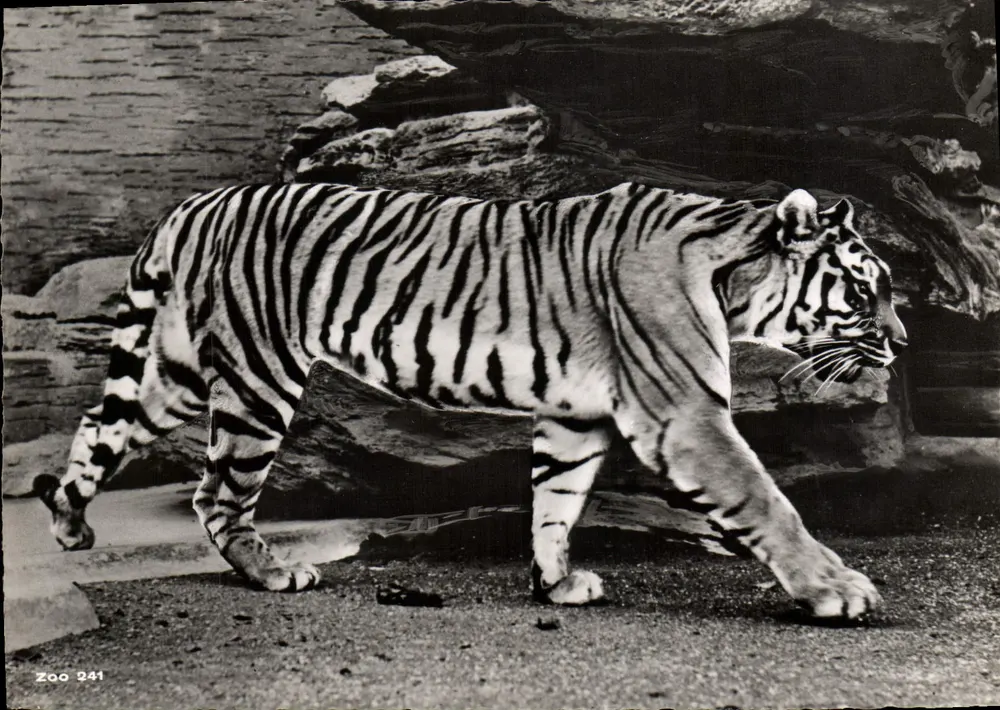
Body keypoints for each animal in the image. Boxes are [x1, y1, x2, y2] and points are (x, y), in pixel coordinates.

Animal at [34, 181, 907, 620]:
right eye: (866, 291)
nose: (901, 342)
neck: (736, 275)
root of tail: (195, 204)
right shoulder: (684, 414)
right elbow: (766, 501)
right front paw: (838, 589)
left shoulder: (577, 413)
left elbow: (555, 500)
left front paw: (555, 585)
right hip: (257, 376)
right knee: (218, 492)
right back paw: (272, 573)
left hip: (182, 369)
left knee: (101, 425)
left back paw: (70, 520)